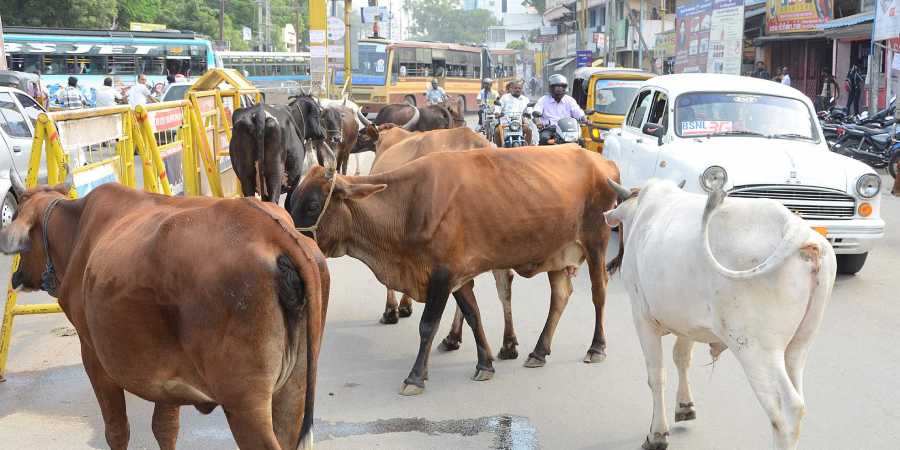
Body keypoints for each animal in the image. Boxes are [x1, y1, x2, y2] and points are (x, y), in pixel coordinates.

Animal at [0, 182, 330, 450]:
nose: (16, 275)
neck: (78, 228)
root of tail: (269, 229)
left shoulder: (94, 358)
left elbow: (116, 431)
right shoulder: (164, 371)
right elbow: (165, 428)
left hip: (244, 404)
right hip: (293, 388)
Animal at [288, 147, 620, 394]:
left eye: (313, 204)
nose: (293, 245)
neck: (407, 206)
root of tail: (603, 161)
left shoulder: (442, 275)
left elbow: (428, 325)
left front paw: (415, 377)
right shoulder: (458, 276)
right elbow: (473, 316)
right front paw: (485, 364)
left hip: (596, 241)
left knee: (599, 292)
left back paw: (597, 347)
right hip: (557, 254)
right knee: (560, 296)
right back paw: (539, 352)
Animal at [604, 179, 836, 450]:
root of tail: (796, 228)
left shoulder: (642, 317)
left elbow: (656, 375)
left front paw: (657, 434)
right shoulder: (687, 324)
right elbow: (681, 358)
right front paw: (685, 406)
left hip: (756, 349)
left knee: (787, 410)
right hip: (799, 346)